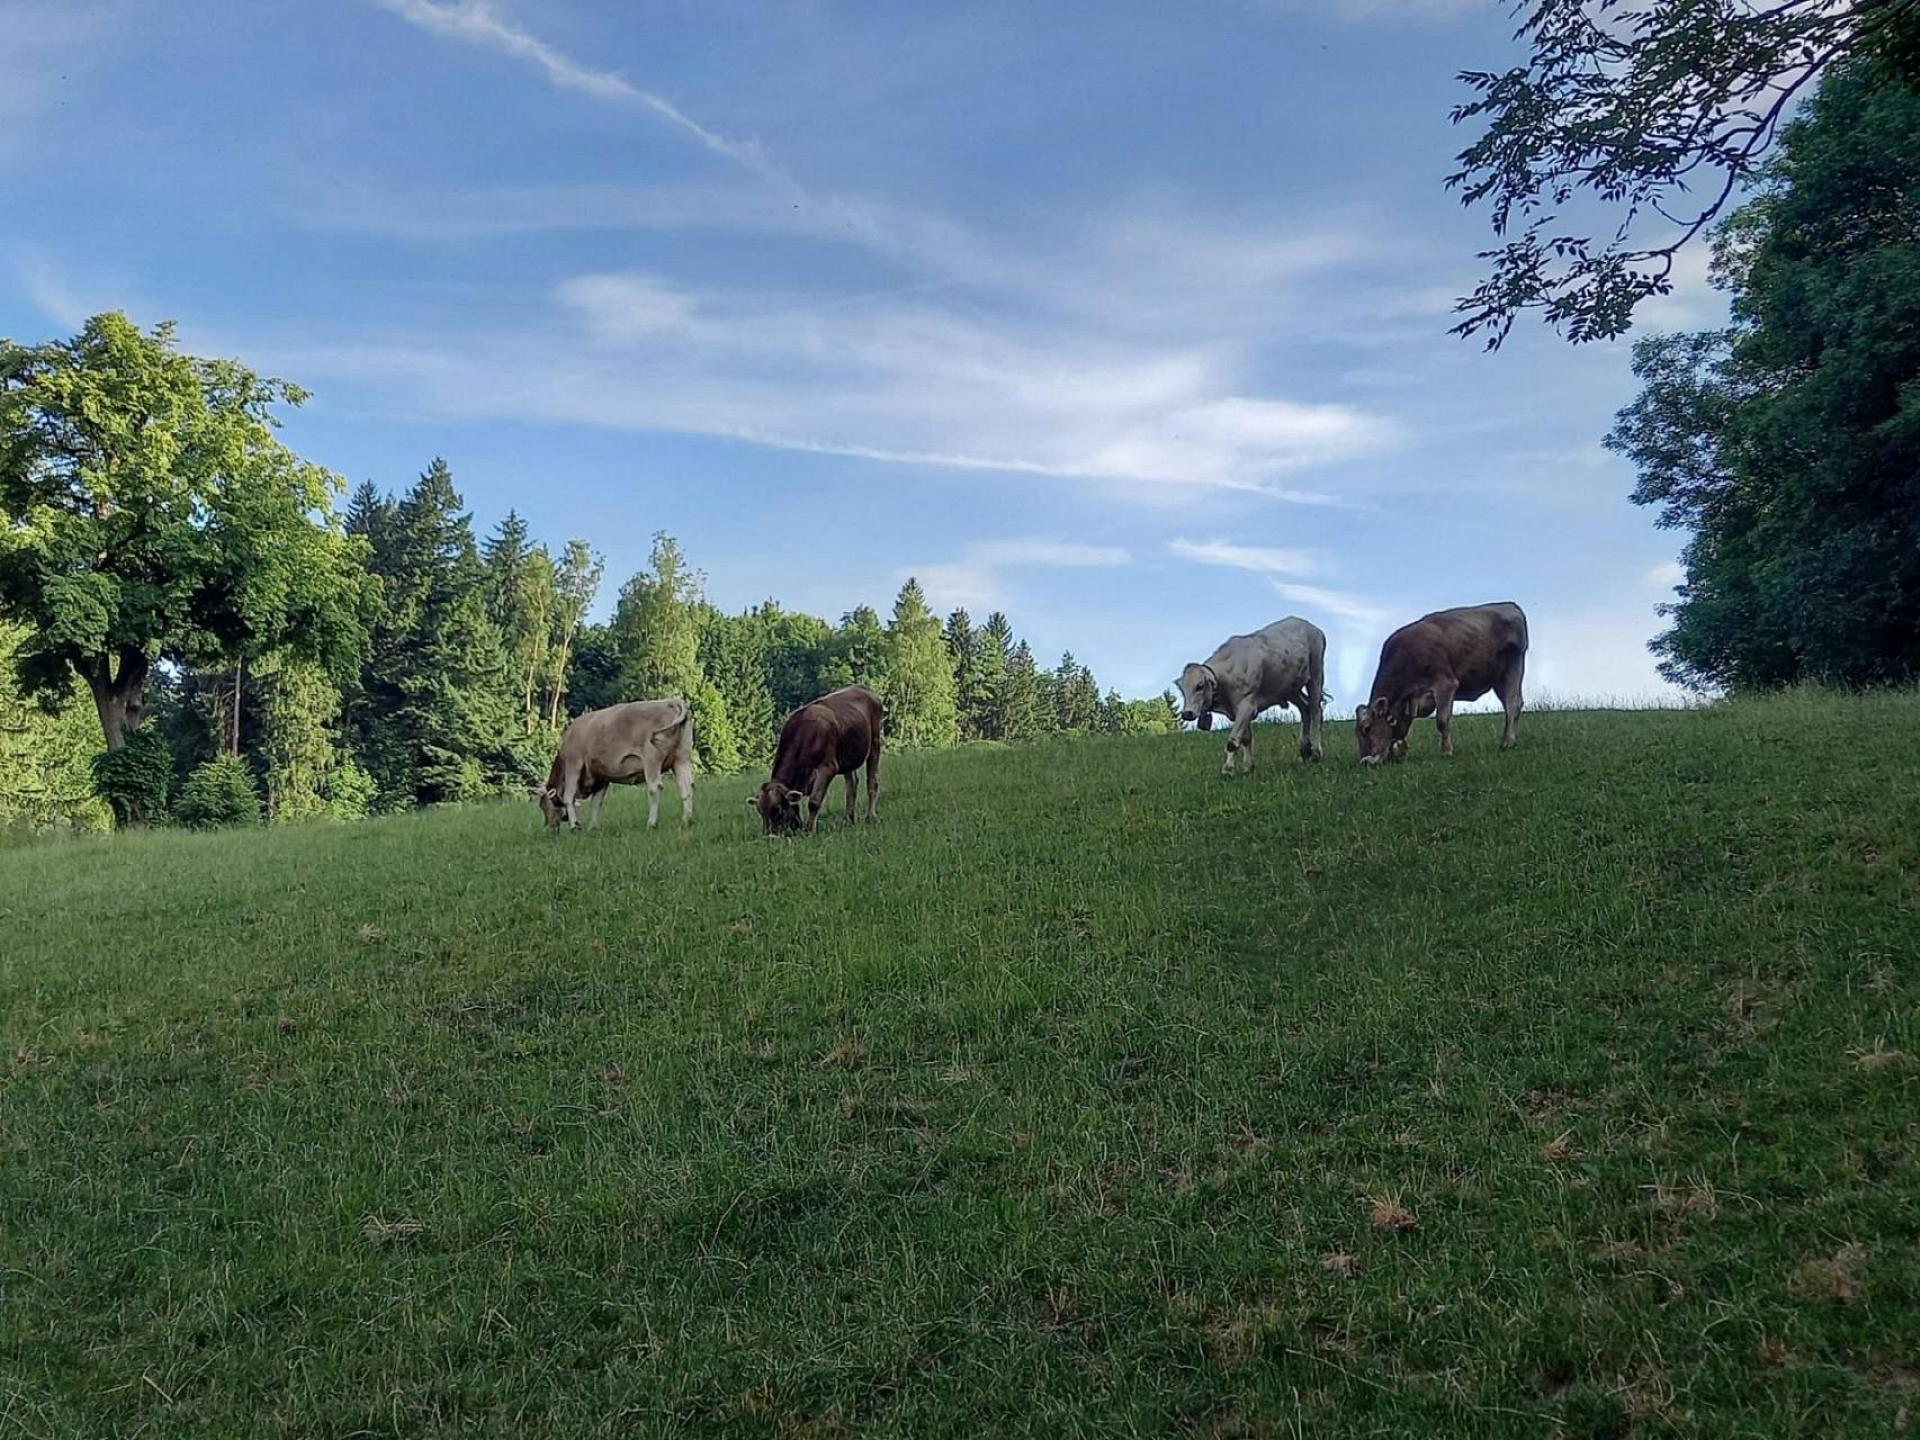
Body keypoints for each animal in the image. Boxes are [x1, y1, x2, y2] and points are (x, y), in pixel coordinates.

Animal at [537, 698, 695, 833]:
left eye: (543, 806)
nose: (548, 828)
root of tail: (672, 701)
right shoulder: (602, 776)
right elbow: (596, 802)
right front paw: (593, 827)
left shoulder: (573, 763)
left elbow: (568, 796)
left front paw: (574, 826)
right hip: (682, 758)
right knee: (686, 787)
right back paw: (687, 820)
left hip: (652, 759)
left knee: (655, 788)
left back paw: (652, 823)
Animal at [748, 683, 883, 833]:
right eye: (761, 812)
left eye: (778, 810)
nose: (769, 835)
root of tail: (864, 688)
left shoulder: (828, 767)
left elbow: (814, 801)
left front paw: (810, 830)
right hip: (848, 757)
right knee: (851, 785)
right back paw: (848, 819)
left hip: (875, 743)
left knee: (872, 782)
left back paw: (870, 816)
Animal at [1175, 622, 1328, 779]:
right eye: (1182, 690)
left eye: (1199, 686)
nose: (1187, 714)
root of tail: (1309, 626)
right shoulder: (1239, 709)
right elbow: (1245, 738)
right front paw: (1248, 767)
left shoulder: (1247, 706)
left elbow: (1233, 741)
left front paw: (1228, 770)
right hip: (1290, 689)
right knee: (1305, 709)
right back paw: (1305, 750)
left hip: (1316, 674)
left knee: (1316, 710)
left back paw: (1316, 752)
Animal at [1359, 602, 1536, 768]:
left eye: (1367, 728)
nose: (1364, 762)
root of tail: (1510, 605)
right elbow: (1399, 732)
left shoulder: (1445, 683)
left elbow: (1442, 720)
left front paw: (1446, 751)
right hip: (1497, 677)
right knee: (1510, 704)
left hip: (1514, 664)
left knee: (1513, 704)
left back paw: (1508, 743)